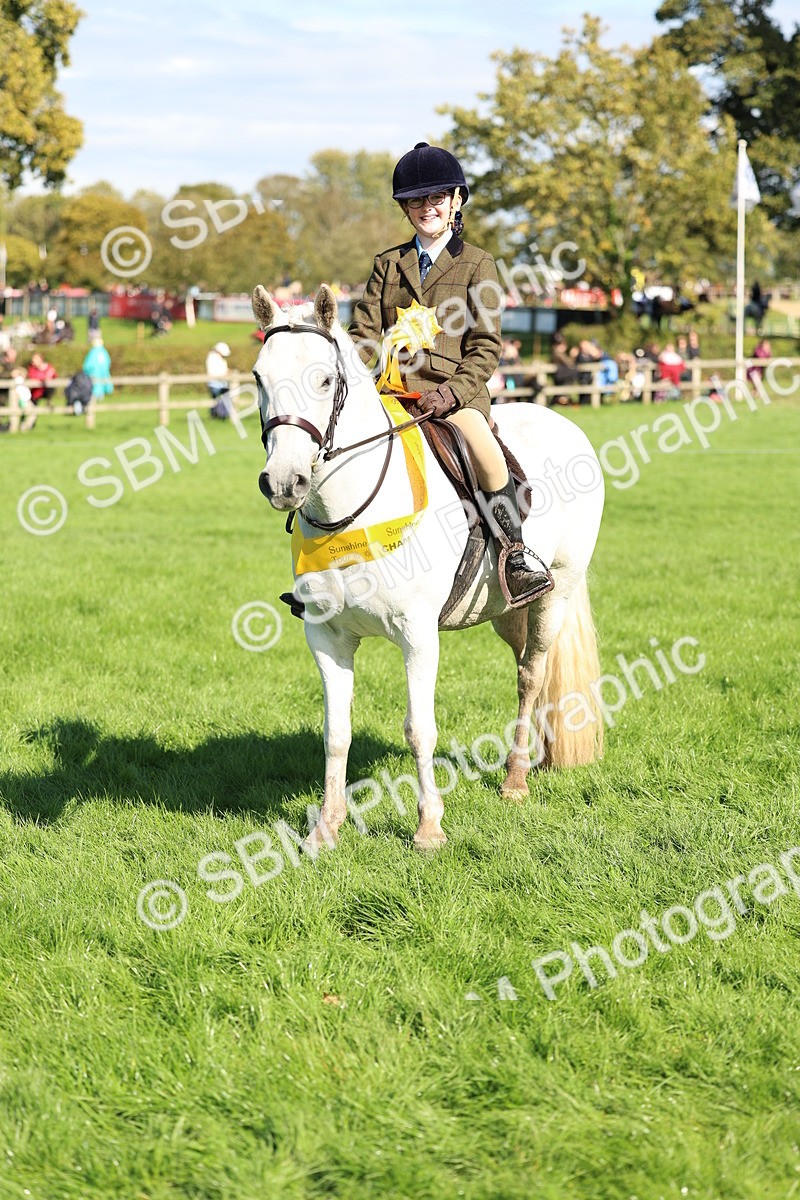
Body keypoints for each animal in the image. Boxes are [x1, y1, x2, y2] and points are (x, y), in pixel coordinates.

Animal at [252, 284, 605, 851]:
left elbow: (420, 728)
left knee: (532, 675)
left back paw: (516, 780)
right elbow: (336, 732)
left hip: (557, 593)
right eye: (259, 378)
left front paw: (429, 828)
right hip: (507, 609)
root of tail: (564, 421)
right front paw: (326, 828)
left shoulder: (417, 634)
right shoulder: (326, 637)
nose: (284, 483)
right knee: (524, 666)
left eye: (324, 379)